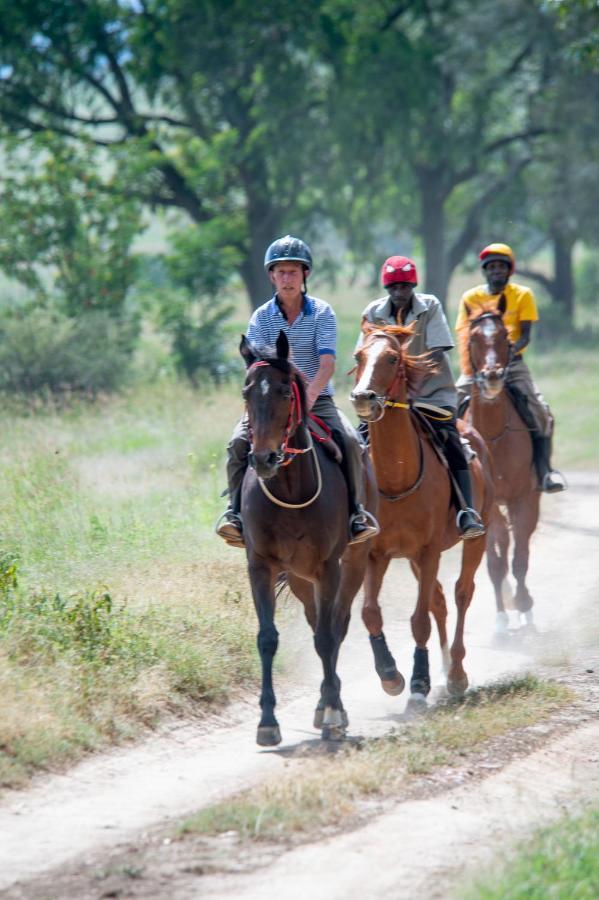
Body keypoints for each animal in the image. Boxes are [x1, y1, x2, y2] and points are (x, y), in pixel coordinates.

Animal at [239, 330, 376, 744]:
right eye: (246, 391)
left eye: (285, 391)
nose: (263, 459)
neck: (287, 488)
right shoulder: (260, 567)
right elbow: (268, 638)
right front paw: (267, 722)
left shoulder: (329, 567)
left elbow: (329, 638)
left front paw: (332, 714)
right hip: (300, 578)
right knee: (318, 624)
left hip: (350, 565)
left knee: (336, 626)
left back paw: (333, 707)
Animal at [350, 324, 494, 704]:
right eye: (359, 356)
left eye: (392, 358)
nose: (363, 397)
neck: (396, 476)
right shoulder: (376, 554)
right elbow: (370, 613)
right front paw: (390, 675)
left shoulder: (429, 552)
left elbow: (419, 620)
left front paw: (419, 681)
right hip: (412, 557)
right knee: (439, 601)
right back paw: (443, 668)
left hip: (478, 536)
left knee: (461, 593)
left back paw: (456, 672)